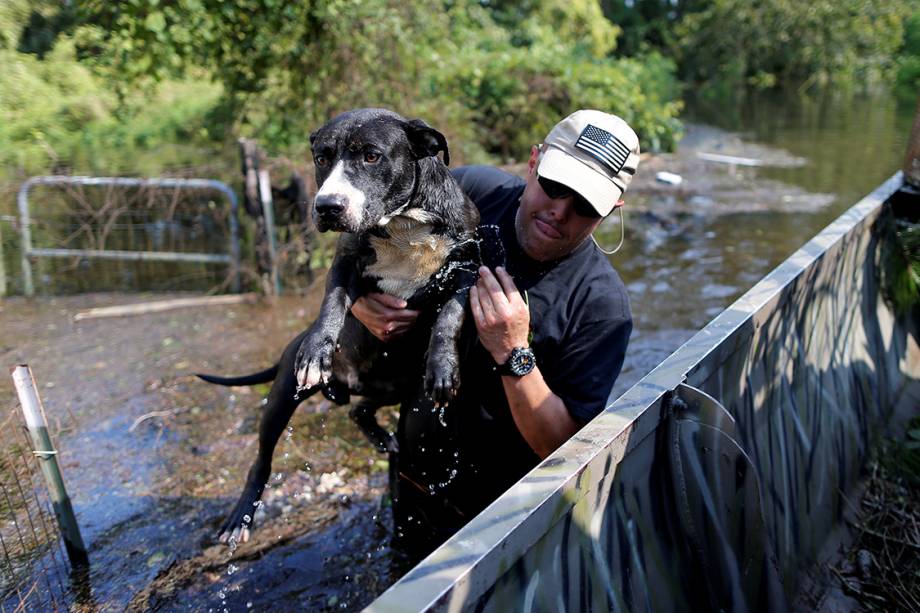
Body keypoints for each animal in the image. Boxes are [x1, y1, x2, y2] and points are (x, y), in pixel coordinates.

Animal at [197, 107, 478, 544]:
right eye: (321, 158)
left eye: (371, 156)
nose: (328, 206)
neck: (403, 223)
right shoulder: (345, 261)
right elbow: (331, 303)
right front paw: (317, 349)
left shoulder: (467, 263)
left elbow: (449, 316)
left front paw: (443, 367)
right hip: (281, 398)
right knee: (262, 459)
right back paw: (240, 517)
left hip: (392, 386)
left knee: (358, 411)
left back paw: (383, 436)